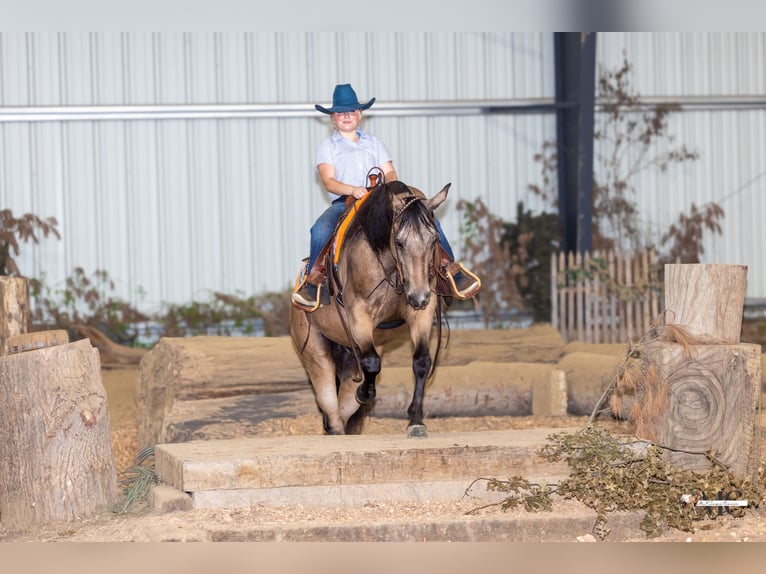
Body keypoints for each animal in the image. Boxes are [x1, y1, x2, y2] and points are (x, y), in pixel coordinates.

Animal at [289, 180, 450, 438]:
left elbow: (422, 362)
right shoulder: (359, 316)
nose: (419, 296)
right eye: (399, 241)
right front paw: (366, 393)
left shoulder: (422, 313)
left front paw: (416, 421)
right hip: (315, 354)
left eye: (434, 239)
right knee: (331, 410)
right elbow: (373, 363)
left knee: (343, 408)